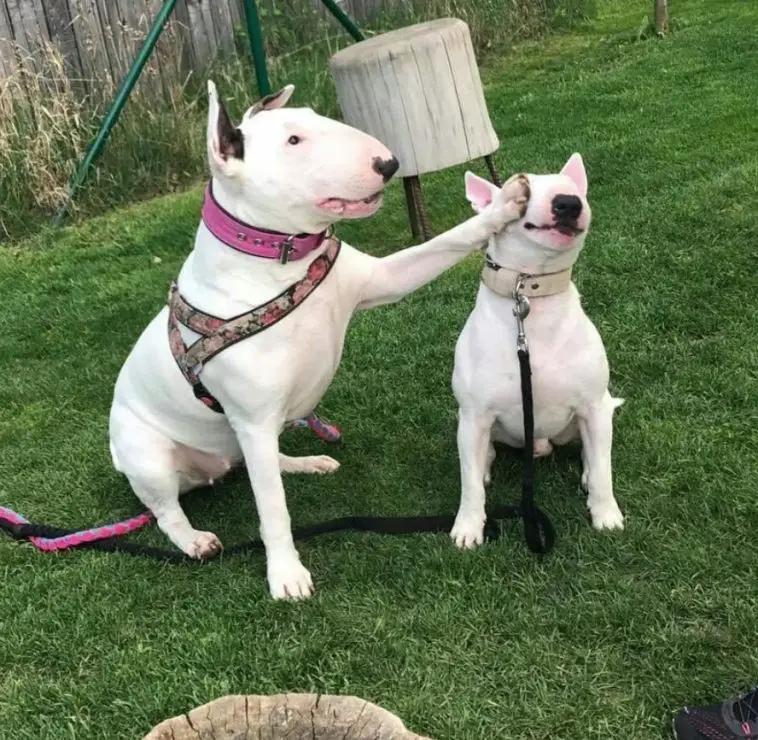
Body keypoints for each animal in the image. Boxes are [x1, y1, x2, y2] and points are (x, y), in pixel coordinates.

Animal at [110, 81, 532, 600]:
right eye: (293, 141)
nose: (388, 163)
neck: (280, 263)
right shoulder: (252, 419)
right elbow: (273, 511)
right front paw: (286, 574)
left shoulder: (383, 279)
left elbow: (446, 241)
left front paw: (504, 204)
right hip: (148, 453)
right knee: (168, 508)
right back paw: (193, 539)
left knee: (264, 464)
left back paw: (305, 462)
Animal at [452, 153, 624, 548]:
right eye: (522, 189)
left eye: (575, 190)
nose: (569, 203)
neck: (529, 294)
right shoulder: (474, 415)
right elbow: (469, 484)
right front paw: (468, 526)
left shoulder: (593, 406)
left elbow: (604, 471)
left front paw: (605, 514)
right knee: (483, 457)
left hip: (595, 415)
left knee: (594, 454)